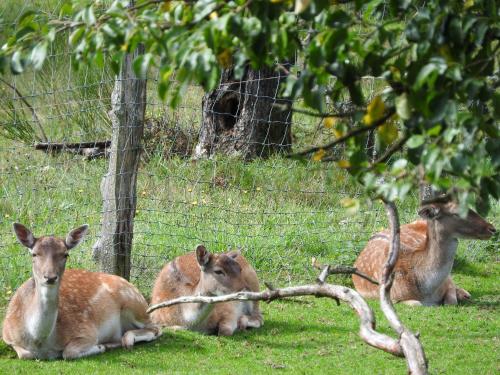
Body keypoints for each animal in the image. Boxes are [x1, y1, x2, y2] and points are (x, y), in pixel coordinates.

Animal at [1, 225, 161, 360]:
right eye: (34, 254)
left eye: (65, 254)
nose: (50, 277)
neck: (40, 341)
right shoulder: (7, 336)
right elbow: (25, 354)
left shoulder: (86, 331)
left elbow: (68, 352)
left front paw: (100, 346)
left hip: (134, 304)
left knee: (156, 327)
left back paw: (126, 340)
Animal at [352, 198, 496, 306]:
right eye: (456, 213)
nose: (492, 228)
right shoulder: (393, 296)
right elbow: (417, 303)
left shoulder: (447, 282)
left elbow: (451, 301)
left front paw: (461, 295)